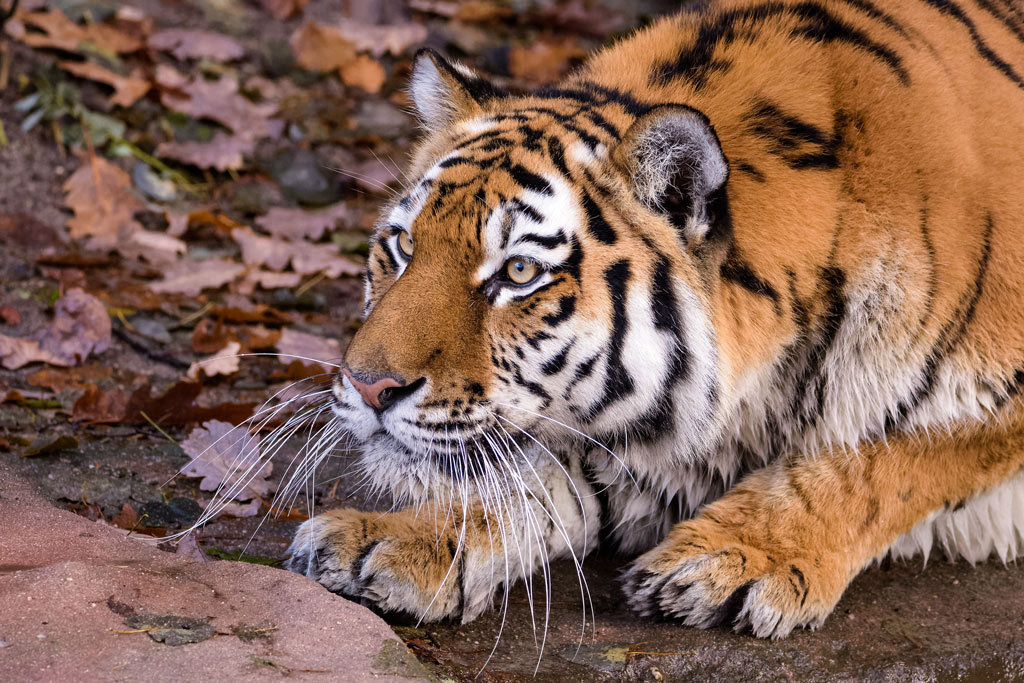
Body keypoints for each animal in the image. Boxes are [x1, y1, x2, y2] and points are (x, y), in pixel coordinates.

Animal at [284, 1, 1024, 643]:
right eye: (404, 246)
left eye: (519, 272)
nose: (369, 385)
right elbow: (535, 479)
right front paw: (396, 539)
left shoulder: (991, 411)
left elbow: (883, 456)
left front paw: (729, 560)